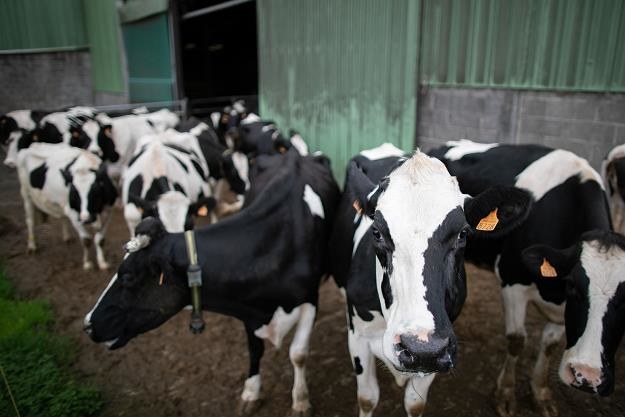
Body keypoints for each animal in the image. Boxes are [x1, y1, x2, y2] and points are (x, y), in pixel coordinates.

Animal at [83, 149, 342, 416]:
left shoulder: (309, 300)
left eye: (127, 277)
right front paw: (251, 392)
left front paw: (300, 400)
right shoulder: (247, 308)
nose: (89, 324)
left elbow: (298, 354)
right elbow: (255, 350)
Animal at [330, 144, 528, 416]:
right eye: (377, 233)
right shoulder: (358, 336)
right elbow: (367, 398)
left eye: (463, 234)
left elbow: (415, 403)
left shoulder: (437, 353)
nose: (420, 347)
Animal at [428, 141, 624, 416]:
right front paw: (505, 394)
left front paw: (540, 392)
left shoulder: (561, 305)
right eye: (574, 286)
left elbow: (550, 344)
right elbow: (516, 340)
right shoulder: (513, 281)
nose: (587, 376)